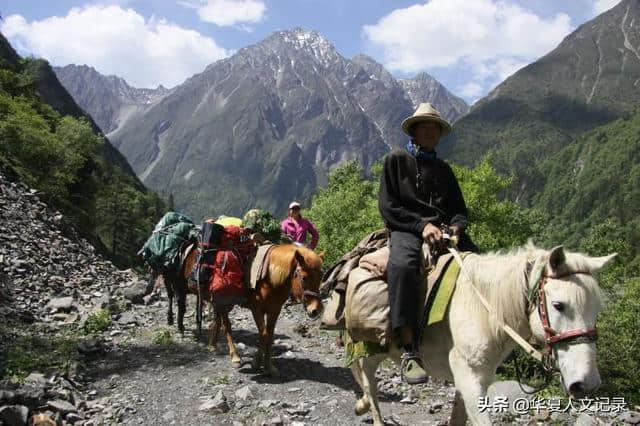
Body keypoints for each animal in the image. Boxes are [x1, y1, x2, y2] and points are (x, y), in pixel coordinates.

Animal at [149, 243, 320, 372]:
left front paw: (269, 366)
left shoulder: (274, 310)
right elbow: (263, 335)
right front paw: (257, 363)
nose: (315, 310)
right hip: (183, 288)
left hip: (218, 301)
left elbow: (269, 336)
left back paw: (212, 345)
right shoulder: (256, 309)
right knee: (213, 320)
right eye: (303, 278)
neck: (270, 277)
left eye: (321, 277)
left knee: (217, 320)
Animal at [348, 243, 616, 426]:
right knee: (368, 380)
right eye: (559, 305)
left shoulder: (476, 378)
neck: (485, 311)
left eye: (597, 310)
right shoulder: (470, 377)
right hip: (369, 347)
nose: (587, 384)